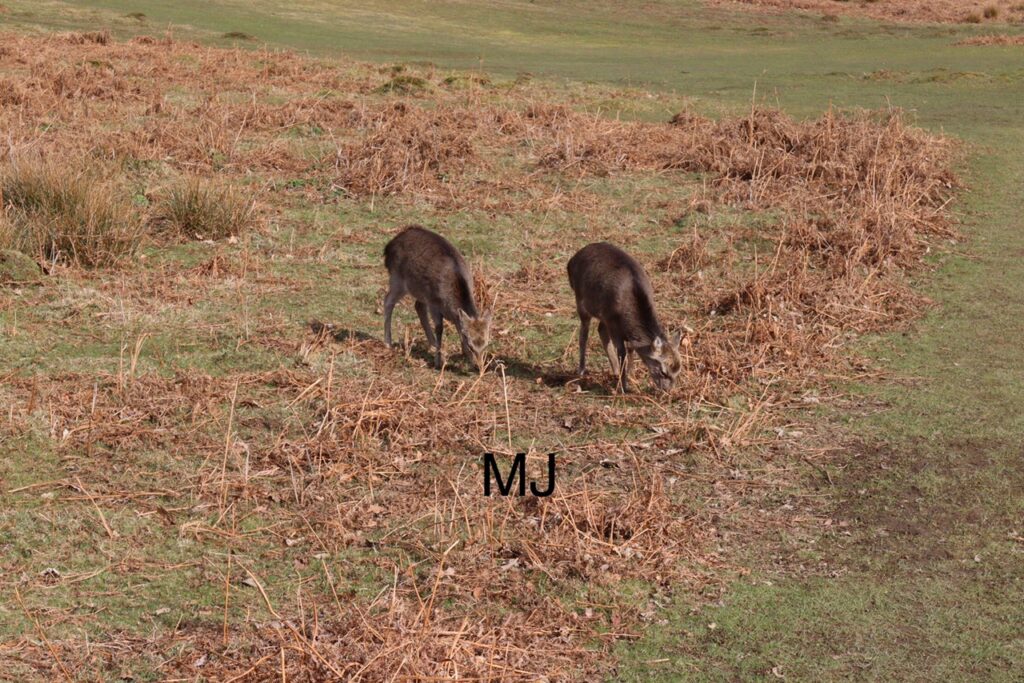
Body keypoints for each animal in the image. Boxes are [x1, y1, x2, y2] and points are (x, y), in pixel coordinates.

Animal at [383, 225, 493, 370]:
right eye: (471, 345)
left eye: (486, 344)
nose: (479, 367)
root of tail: (389, 246)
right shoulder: (433, 303)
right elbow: (440, 328)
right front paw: (438, 361)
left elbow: (459, 326)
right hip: (398, 279)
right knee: (388, 300)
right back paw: (388, 342)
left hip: (420, 290)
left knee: (418, 306)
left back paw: (432, 344)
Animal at [567, 242, 683, 393]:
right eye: (663, 372)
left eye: (678, 371)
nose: (667, 391)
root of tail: (571, 261)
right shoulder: (612, 322)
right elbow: (622, 353)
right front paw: (623, 387)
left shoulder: (613, 321)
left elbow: (631, 348)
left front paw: (631, 376)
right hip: (581, 302)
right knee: (584, 334)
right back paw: (581, 370)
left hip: (603, 315)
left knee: (601, 330)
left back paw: (615, 371)